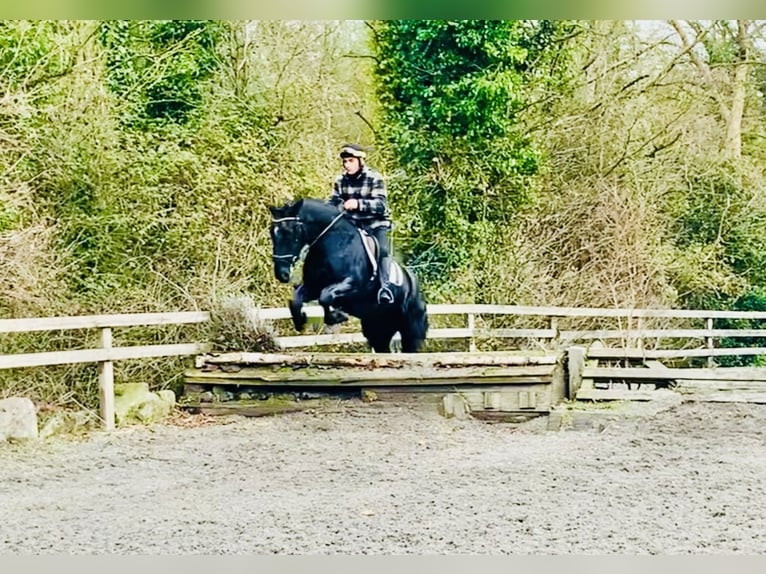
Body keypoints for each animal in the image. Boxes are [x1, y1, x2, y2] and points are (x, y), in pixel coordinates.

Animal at [270, 199, 428, 356]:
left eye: (290, 232)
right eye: (272, 233)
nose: (281, 274)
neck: (333, 243)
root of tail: (416, 285)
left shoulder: (352, 286)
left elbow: (325, 296)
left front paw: (337, 316)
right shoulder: (313, 287)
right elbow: (297, 298)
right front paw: (301, 321)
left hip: (411, 331)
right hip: (377, 330)